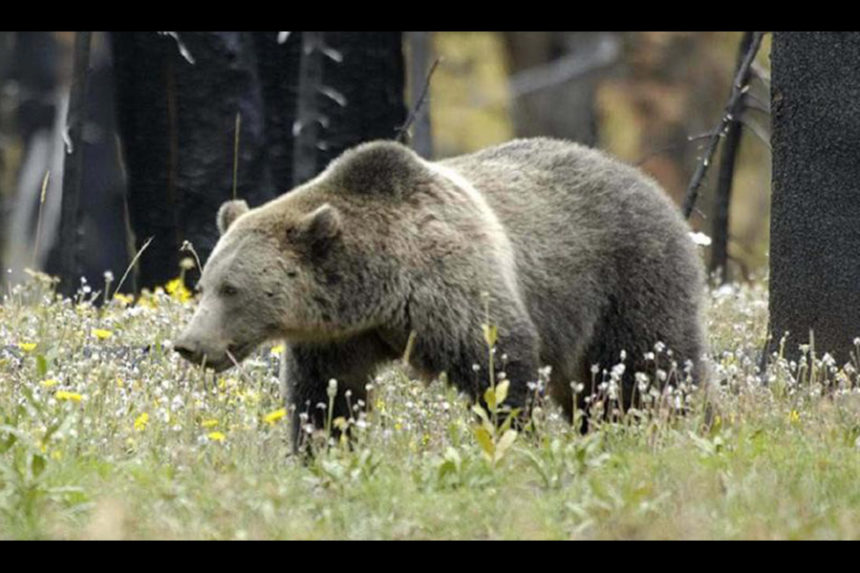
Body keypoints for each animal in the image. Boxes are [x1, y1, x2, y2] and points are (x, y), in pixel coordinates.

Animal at [174, 137, 706, 451]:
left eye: (232, 288)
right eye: (203, 285)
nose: (189, 345)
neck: (379, 290)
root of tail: (647, 182)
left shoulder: (451, 290)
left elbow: (500, 368)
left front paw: (516, 440)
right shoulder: (338, 339)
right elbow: (327, 398)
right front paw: (324, 451)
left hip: (628, 278)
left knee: (652, 369)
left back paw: (683, 428)